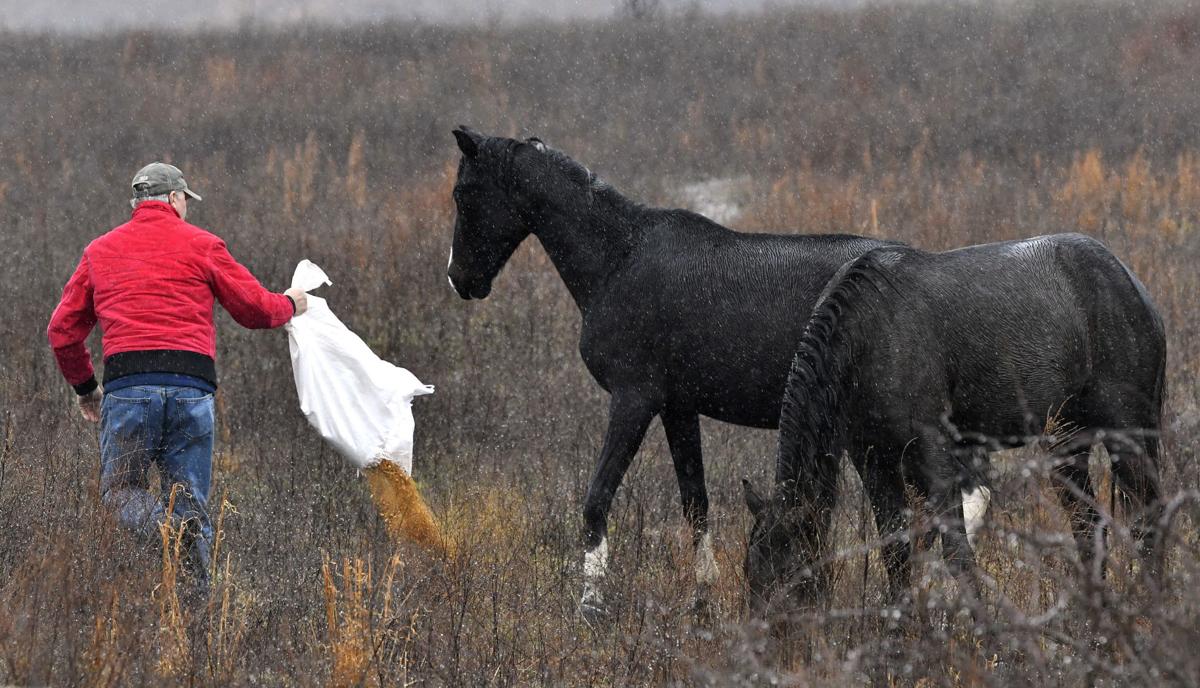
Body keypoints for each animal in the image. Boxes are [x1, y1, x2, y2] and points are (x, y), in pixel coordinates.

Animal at [446, 126, 897, 618]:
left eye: (462, 193)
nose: (458, 278)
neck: (620, 259)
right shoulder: (678, 408)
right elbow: (695, 500)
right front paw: (702, 594)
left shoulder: (633, 400)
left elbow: (596, 499)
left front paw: (591, 603)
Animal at [742, 234, 1166, 617]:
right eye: (751, 574)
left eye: (791, 574)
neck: (867, 334)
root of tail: (1134, 287)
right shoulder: (873, 459)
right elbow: (895, 548)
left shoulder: (934, 453)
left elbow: (956, 551)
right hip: (1067, 440)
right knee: (1088, 524)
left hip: (1128, 434)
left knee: (1148, 520)